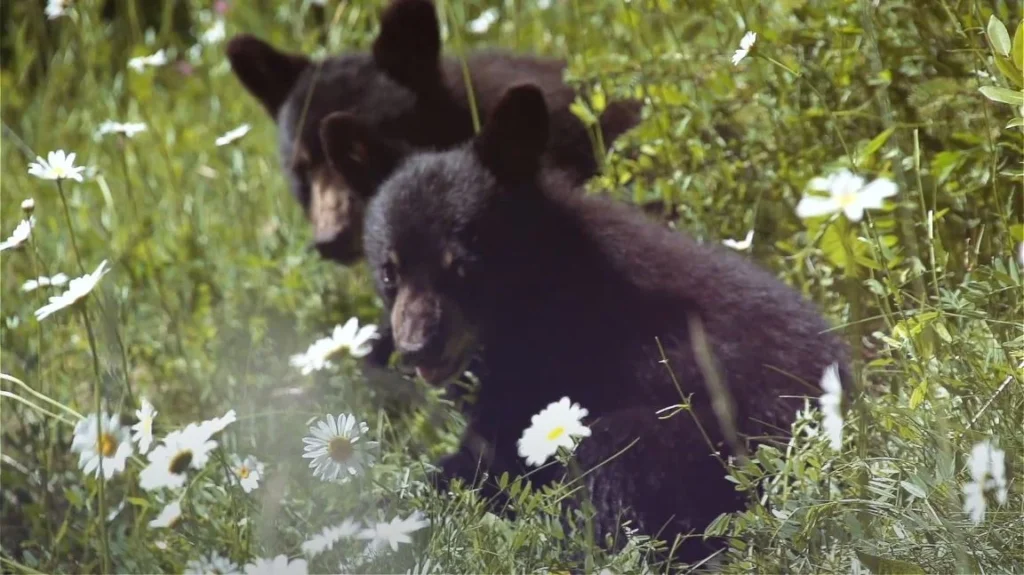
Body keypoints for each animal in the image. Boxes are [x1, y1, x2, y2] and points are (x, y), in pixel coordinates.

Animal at [318, 82, 852, 566]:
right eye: (390, 271)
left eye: (462, 266)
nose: (416, 347)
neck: (540, 283)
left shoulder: (551, 365)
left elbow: (487, 461)